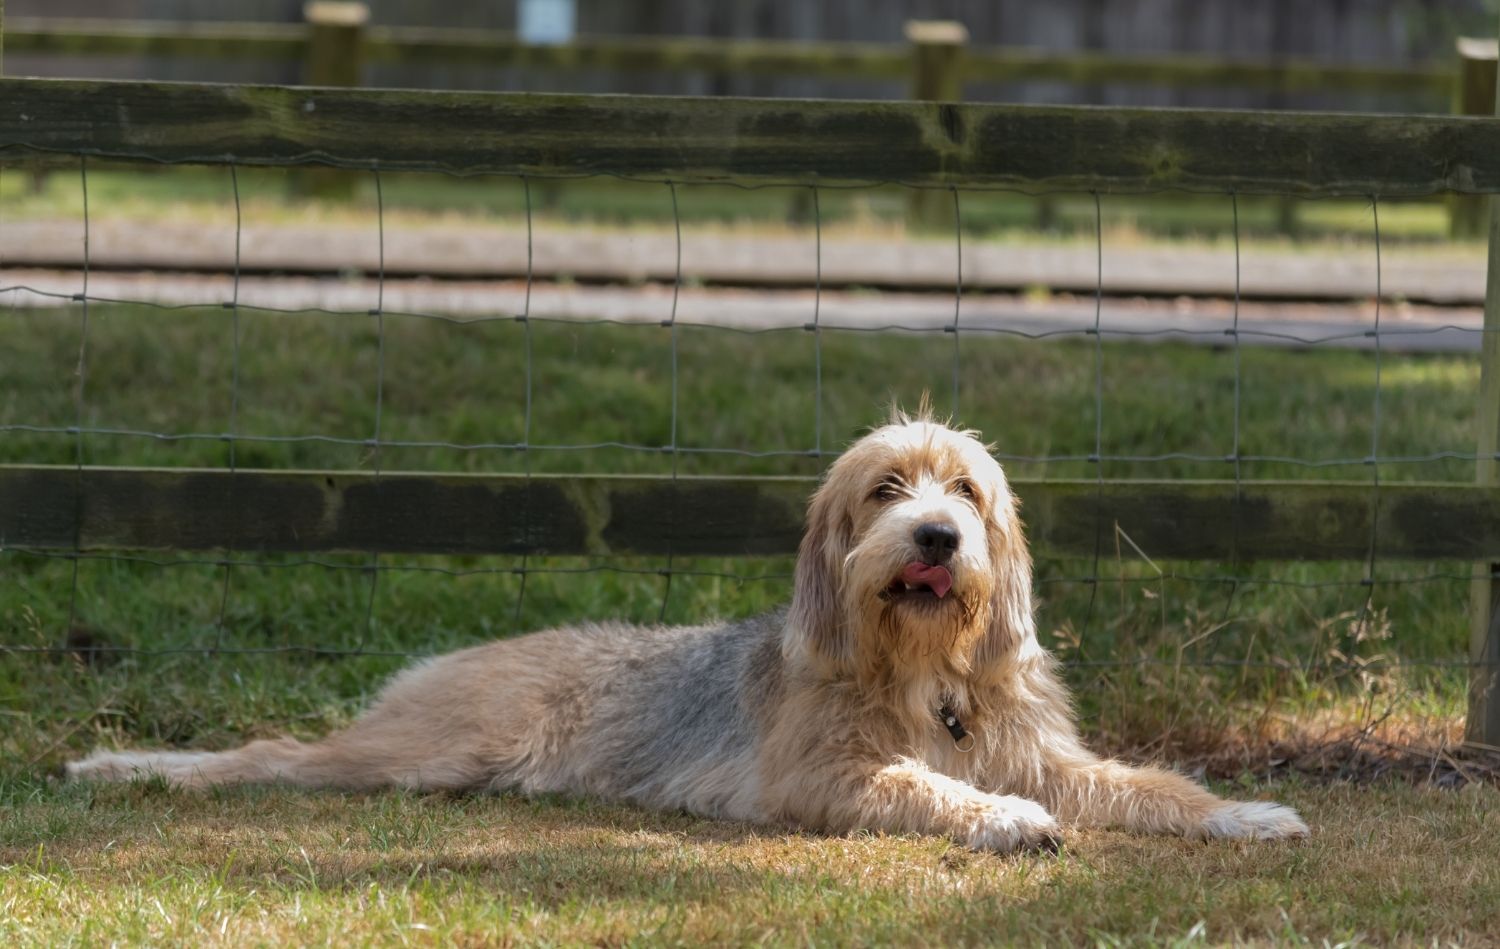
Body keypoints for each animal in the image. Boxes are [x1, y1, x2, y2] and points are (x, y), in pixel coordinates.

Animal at [64, 413, 1308, 851]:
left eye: (965, 488)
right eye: (886, 487)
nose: (937, 535)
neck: (926, 676)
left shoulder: (1047, 752)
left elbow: (1144, 781)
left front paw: (1241, 812)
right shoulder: (827, 776)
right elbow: (927, 785)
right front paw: (1000, 817)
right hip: (422, 748)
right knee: (269, 754)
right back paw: (125, 766)